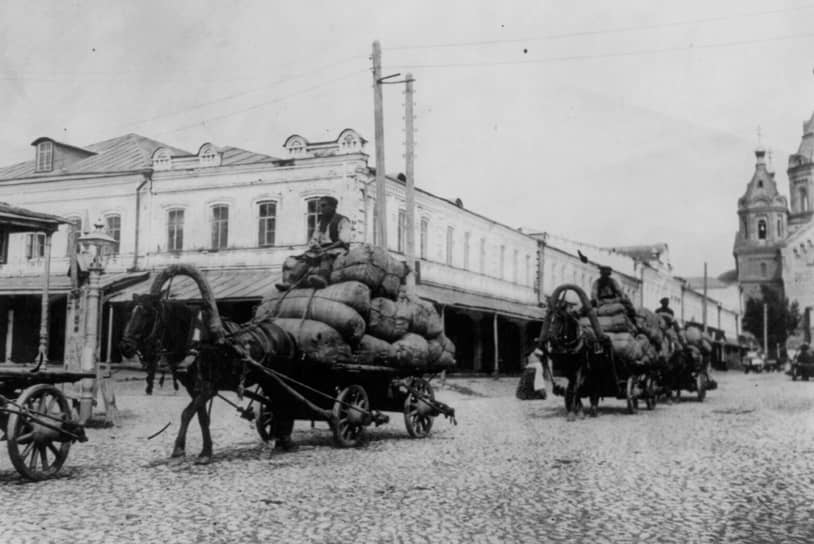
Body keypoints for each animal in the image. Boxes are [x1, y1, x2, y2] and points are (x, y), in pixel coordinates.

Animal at [118, 264, 300, 464]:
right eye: (130, 313)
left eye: (147, 313)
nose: (126, 346)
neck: (197, 341)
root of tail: (284, 333)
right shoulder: (193, 388)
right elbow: (202, 417)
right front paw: (205, 451)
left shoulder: (208, 388)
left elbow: (186, 413)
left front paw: (179, 449)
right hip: (268, 380)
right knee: (276, 405)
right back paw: (277, 439)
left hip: (277, 379)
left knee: (284, 403)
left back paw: (282, 440)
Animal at [540, 284, 608, 420]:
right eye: (549, 316)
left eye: (560, 318)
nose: (550, 338)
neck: (570, 347)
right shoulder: (567, 370)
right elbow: (571, 388)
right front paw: (576, 410)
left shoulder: (580, 368)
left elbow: (577, 387)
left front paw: (575, 413)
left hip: (596, 370)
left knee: (595, 386)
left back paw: (594, 408)